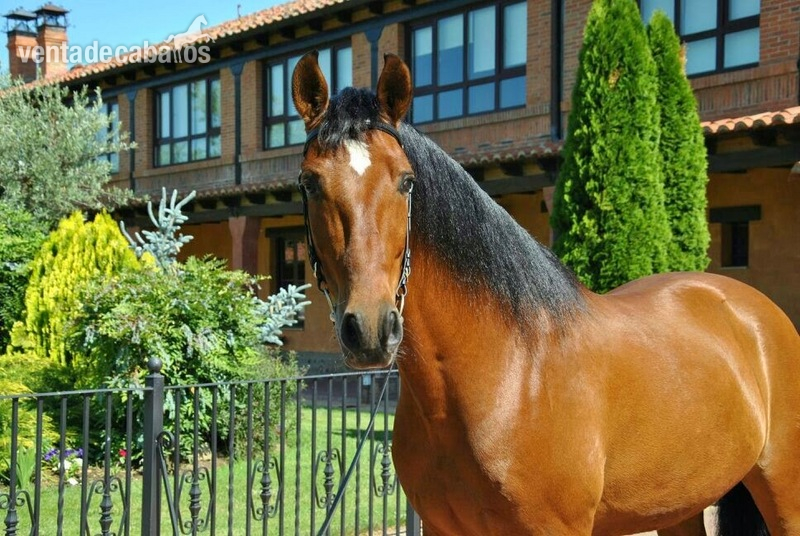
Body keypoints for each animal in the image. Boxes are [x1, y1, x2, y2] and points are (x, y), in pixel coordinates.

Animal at [291, 50, 800, 535]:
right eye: (309, 183)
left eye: (407, 181)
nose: (371, 330)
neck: (508, 378)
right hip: (678, 506)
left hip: (783, 491)